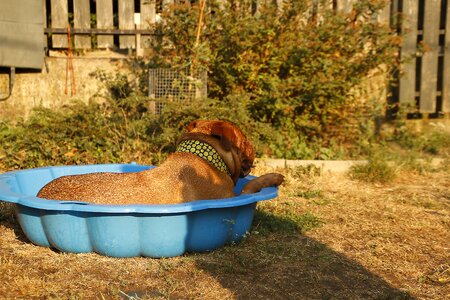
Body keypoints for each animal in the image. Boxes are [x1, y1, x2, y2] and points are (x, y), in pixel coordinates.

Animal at [39, 118, 284, 205]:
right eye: (244, 139)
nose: (253, 145)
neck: (204, 157)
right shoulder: (229, 196)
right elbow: (251, 186)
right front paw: (271, 178)